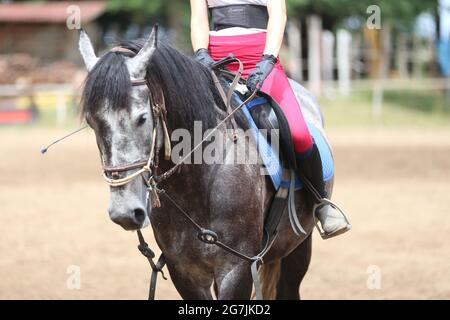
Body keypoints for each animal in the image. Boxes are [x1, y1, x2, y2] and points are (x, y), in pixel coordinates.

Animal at [77, 28, 330, 300]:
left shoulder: (237, 268)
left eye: (142, 118)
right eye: (92, 122)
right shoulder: (184, 271)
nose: (123, 212)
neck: (197, 183)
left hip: (299, 246)